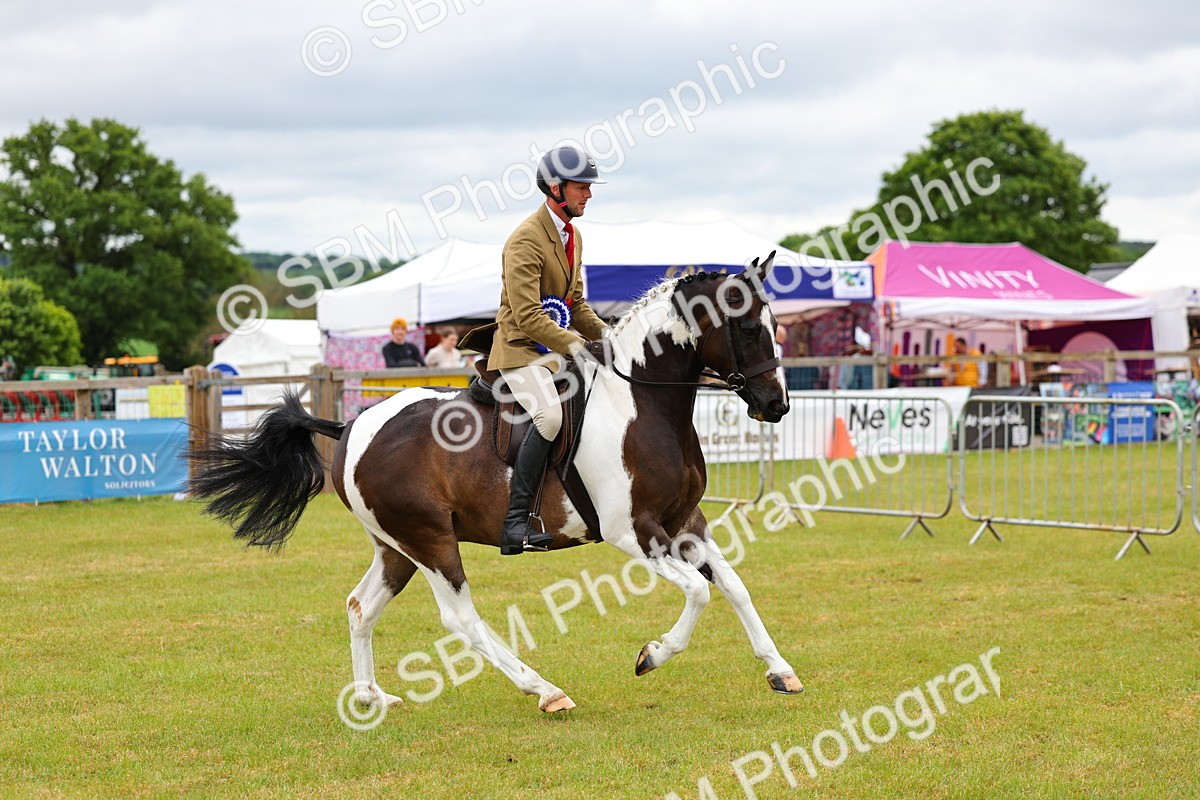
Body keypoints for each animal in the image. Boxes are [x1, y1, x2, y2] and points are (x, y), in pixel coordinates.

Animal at [188, 252, 803, 713]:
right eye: (751, 327)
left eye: (778, 326)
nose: (776, 406)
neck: (641, 403)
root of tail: (352, 424)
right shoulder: (634, 532)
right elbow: (699, 591)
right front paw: (652, 654)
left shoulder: (686, 524)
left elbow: (734, 586)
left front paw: (780, 671)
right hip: (430, 540)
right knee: (458, 617)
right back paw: (545, 690)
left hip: (396, 546)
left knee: (362, 605)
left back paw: (371, 697)